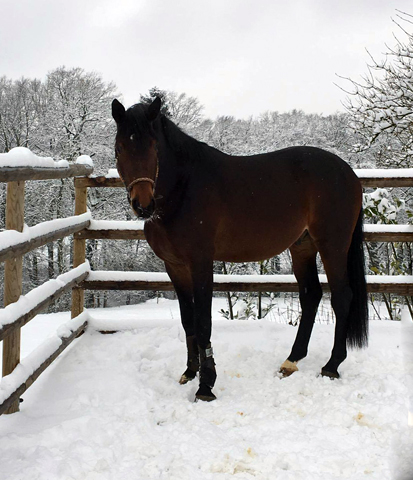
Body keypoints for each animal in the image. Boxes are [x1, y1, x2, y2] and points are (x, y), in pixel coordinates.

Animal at [112, 96, 366, 402]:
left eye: (152, 146)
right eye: (119, 147)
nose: (143, 205)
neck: (183, 188)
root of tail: (348, 173)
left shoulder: (200, 262)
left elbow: (203, 322)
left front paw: (206, 385)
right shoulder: (174, 266)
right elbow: (187, 320)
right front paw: (190, 372)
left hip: (333, 245)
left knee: (341, 297)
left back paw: (331, 365)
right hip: (302, 247)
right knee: (311, 296)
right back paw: (291, 360)